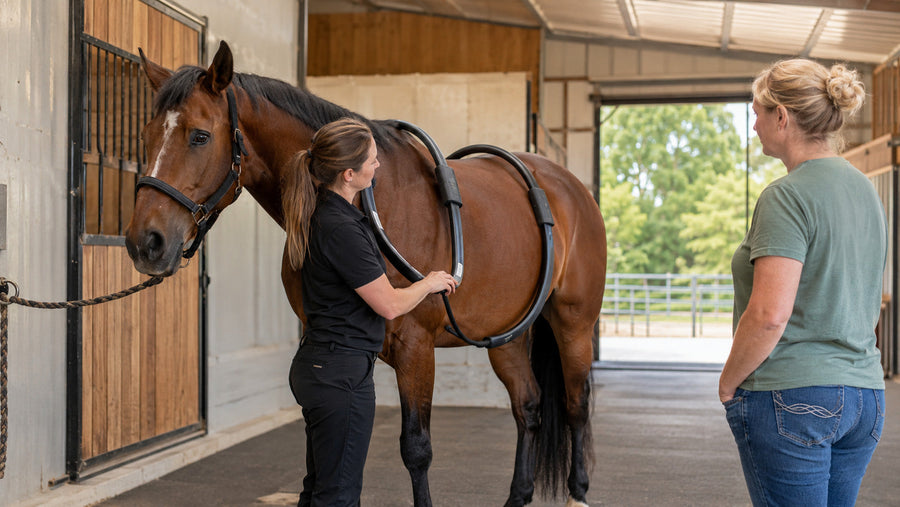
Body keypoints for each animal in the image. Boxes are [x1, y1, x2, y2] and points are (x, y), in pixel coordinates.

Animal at [125, 41, 607, 507]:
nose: (145, 242)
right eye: (146, 137)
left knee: (576, 405)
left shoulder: (416, 347)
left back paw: (579, 492)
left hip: (573, 325)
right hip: (507, 336)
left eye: (200, 136)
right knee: (528, 406)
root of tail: (571, 187)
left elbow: (417, 449)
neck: (369, 201)